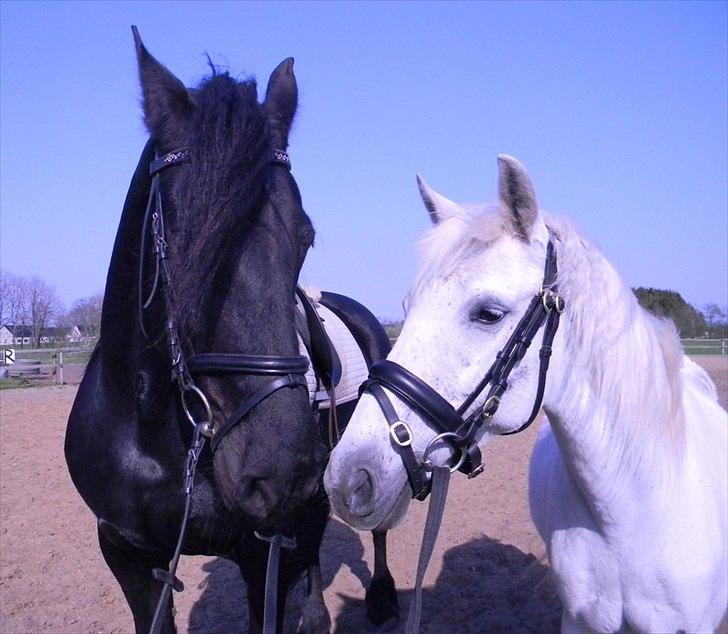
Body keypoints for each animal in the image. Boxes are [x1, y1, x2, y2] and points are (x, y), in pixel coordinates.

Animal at [67, 27, 398, 628]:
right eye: (183, 236)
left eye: (305, 235)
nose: (282, 470)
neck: (161, 439)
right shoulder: (130, 557)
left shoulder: (262, 555)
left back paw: (381, 596)